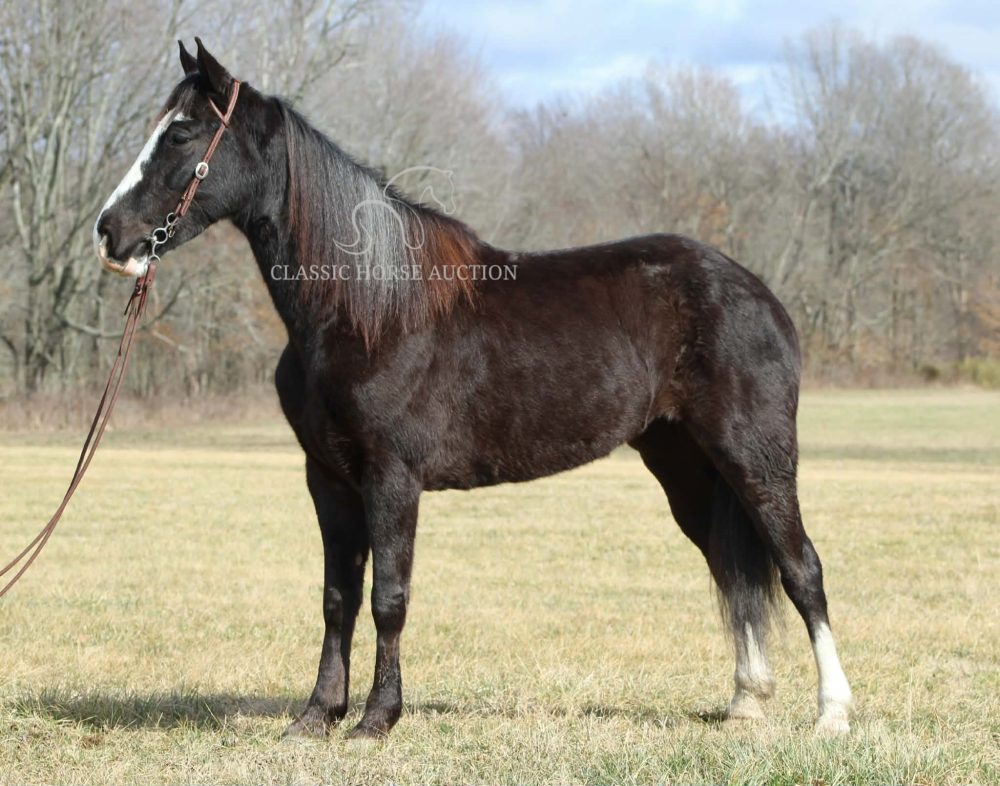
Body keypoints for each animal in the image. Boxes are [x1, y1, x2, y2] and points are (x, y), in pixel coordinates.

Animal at [92, 39, 853, 739]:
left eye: (181, 133)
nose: (110, 233)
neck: (365, 308)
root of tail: (757, 293)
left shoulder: (392, 477)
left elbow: (389, 596)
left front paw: (377, 719)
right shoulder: (328, 478)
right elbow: (338, 597)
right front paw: (317, 716)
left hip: (754, 458)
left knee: (801, 568)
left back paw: (833, 713)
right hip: (685, 465)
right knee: (729, 562)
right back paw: (746, 701)